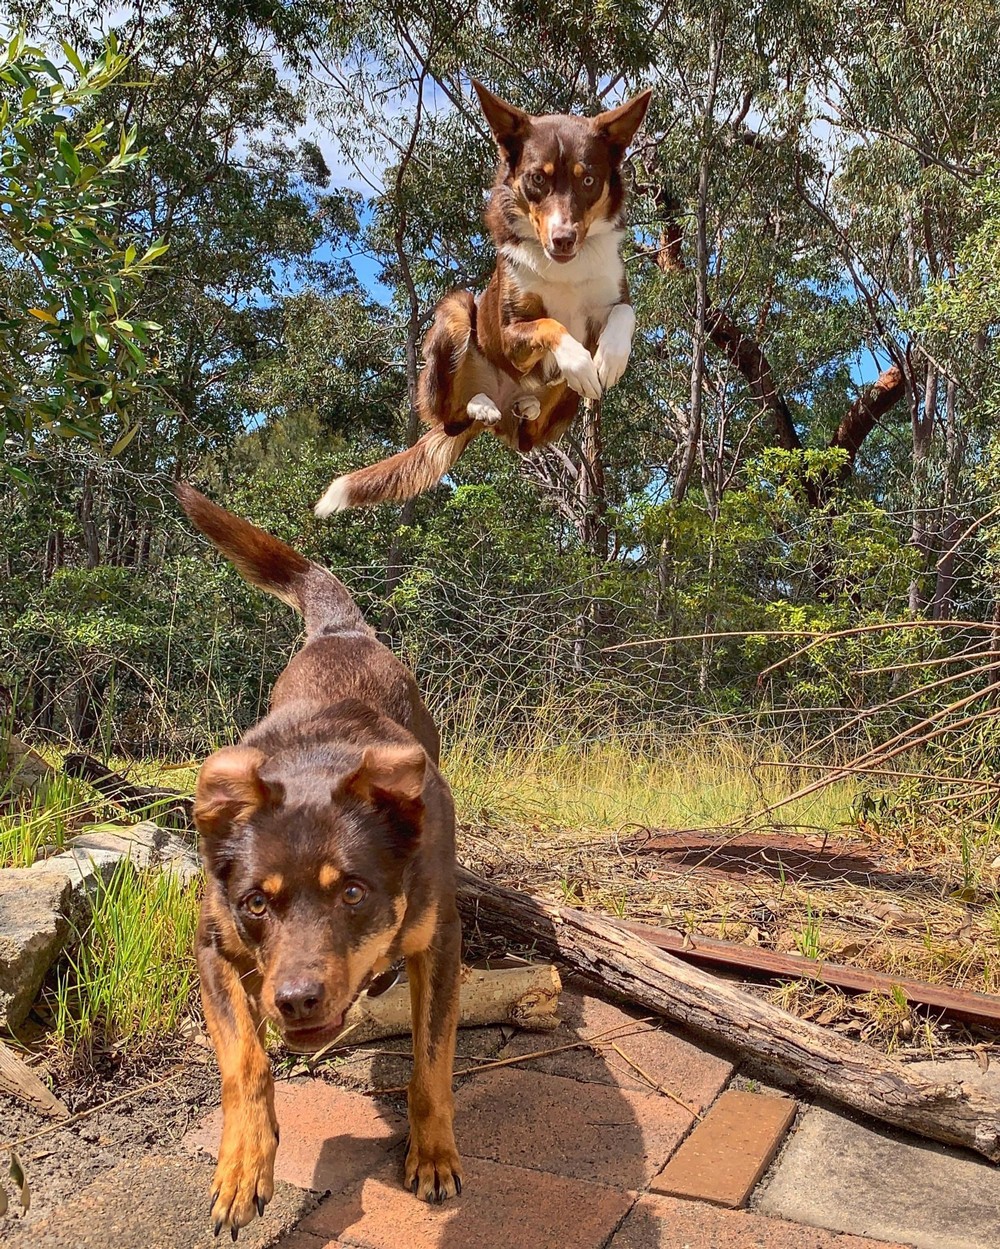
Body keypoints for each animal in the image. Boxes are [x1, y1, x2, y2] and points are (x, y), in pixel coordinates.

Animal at [176, 482, 464, 1234]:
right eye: (255, 902)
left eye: (354, 893)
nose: (297, 1000)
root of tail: (339, 630)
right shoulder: (214, 946)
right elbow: (245, 1061)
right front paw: (244, 1165)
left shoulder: (440, 941)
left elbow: (431, 1061)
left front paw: (433, 1154)